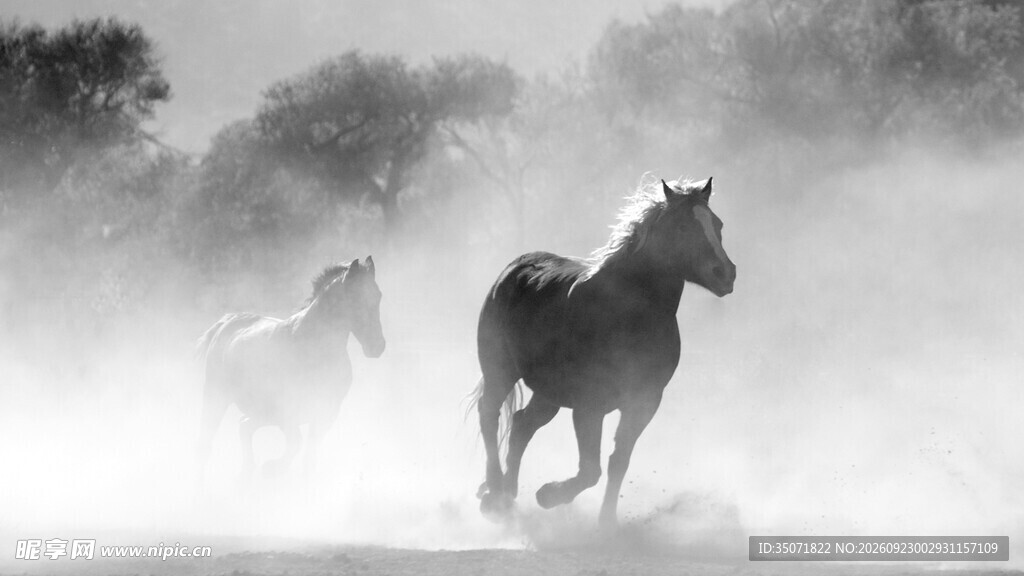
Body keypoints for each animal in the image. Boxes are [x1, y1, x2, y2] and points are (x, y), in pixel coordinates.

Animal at [195, 257, 385, 483]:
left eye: (378, 295)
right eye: (355, 298)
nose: (377, 347)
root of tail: (226, 323)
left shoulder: (326, 412)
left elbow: (309, 457)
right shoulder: (287, 411)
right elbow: (296, 443)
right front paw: (271, 468)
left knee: (244, 426)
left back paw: (246, 475)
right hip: (216, 397)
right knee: (207, 441)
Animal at [472, 176, 735, 527]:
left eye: (717, 224)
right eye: (682, 226)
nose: (726, 273)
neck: (628, 314)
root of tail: (513, 269)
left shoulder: (644, 402)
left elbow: (617, 461)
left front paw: (606, 522)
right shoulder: (589, 406)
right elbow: (590, 470)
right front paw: (548, 495)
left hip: (549, 392)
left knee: (521, 424)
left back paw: (507, 494)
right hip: (499, 371)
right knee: (489, 415)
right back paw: (495, 494)